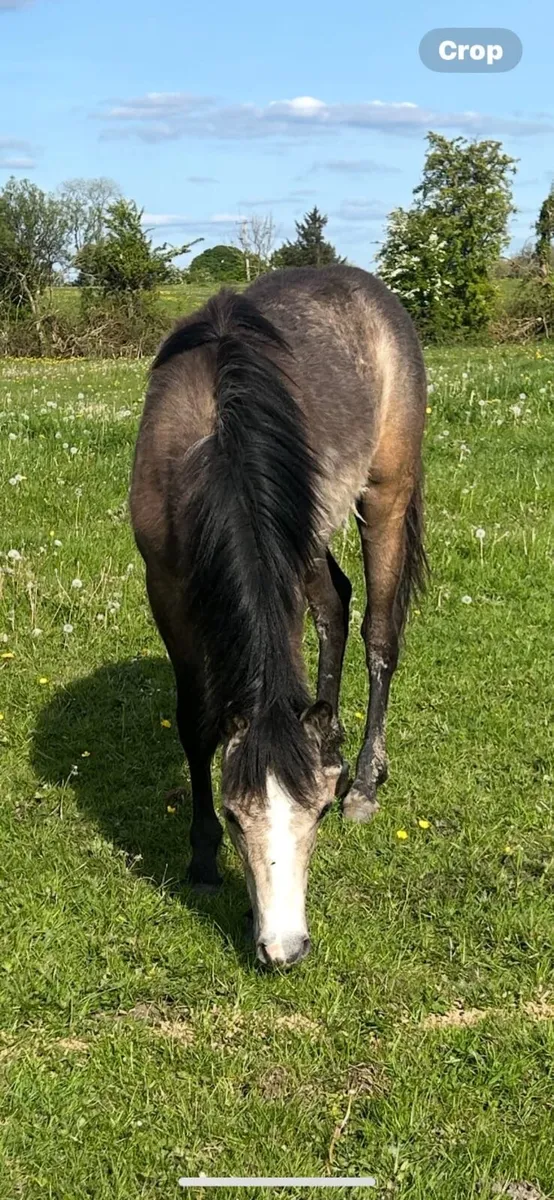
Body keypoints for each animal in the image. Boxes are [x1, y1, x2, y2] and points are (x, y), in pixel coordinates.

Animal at [130, 265, 427, 968]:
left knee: (378, 636)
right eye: (236, 818)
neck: (214, 436)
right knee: (337, 607)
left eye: (314, 816)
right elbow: (195, 722)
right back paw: (332, 742)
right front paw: (201, 857)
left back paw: (365, 781)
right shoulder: (166, 589)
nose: (284, 948)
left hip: (385, 495)